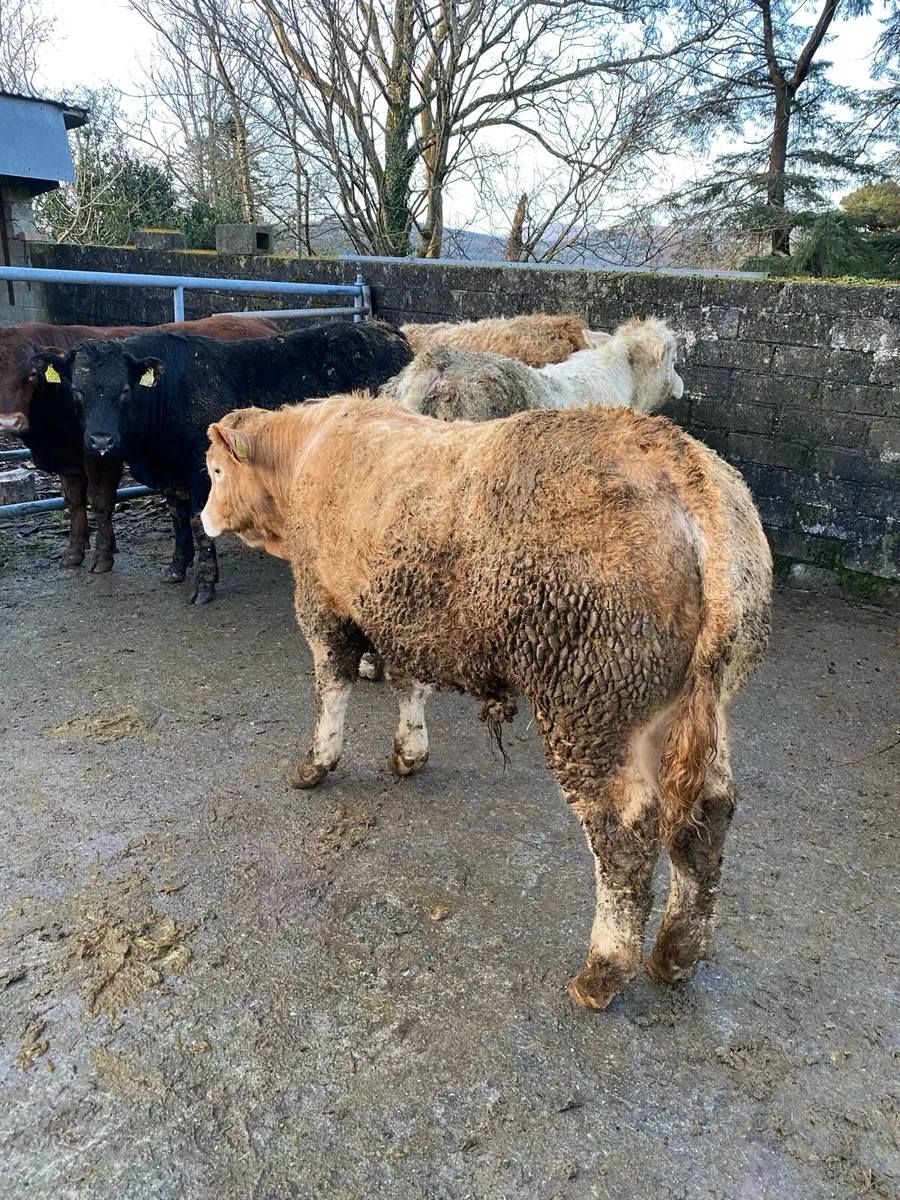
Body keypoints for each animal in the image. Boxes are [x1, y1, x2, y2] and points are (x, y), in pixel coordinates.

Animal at [0, 316, 277, 572]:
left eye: (31, 375)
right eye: (75, 389)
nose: (8, 421)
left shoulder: (102, 456)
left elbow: (100, 500)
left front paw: (103, 555)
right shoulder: (70, 459)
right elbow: (74, 501)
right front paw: (74, 552)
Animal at [37, 321, 413, 602]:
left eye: (125, 390)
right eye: (76, 390)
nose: (101, 440)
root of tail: (386, 330)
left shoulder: (199, 472)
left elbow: (197, 522)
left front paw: (204, 583)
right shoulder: (173, 476)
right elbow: (178, 519)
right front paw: (176, 568)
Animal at [199, 394, 772, 1012]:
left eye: (215, 471)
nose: (203, 518)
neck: (309, 452)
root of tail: (681, 463)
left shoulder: (323, 599)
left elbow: (332, 687)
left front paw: (316, 764)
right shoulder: (404, 614)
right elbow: (408, 684)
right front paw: (409, 753)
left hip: (590, 701)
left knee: (624, 836)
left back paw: (603, 971)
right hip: (697, 703)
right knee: (707, 819)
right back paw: (676, 952)